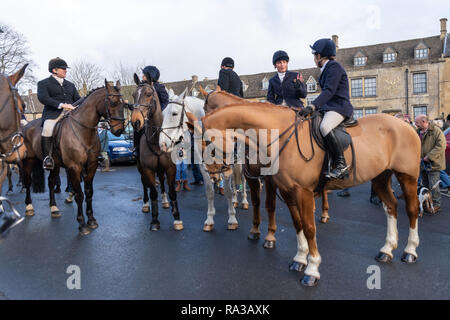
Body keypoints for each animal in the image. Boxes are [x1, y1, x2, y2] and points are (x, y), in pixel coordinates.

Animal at [21, 80, 125, 235]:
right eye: (112, 102)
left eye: (124, 104)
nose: (119, 130)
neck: (83, 131)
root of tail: (27, 126)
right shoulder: (74, 168)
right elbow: (79, 195)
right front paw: (82, 224)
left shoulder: (91, 166)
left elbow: (89, 192)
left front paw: (91, 220)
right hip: (29, 161)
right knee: (28, 182)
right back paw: (29, 207)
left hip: (55, 164)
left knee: (51, 182)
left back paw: (54, 208)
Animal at [130, 74, 183, 231]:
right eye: (133, 95)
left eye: (148, 94)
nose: (135, 121)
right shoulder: (147, 169)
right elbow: (153, 192)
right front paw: (154, 220)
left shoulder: (170, 168)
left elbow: (172, 191)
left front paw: (177, 218)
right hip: (140, 167)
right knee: (144, 184)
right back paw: (146, 204)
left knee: (162, 181)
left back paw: (165, 201)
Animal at [195, 103, 420, 288]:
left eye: (208, 144)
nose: (213, 176)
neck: (279, 136)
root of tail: (404, 123)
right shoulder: (288, 191)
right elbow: (298, 224)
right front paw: (300, 259)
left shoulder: (303, 192)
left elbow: (310, 228)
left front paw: (312, 270)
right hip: (380, 178)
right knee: (391, 206)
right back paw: (387, 249)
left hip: (407, 177)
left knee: (412, 210)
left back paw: (409, 251)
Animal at [199, 85, 328, 250]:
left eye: (204, 108)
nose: (213, 175)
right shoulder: (251, 175)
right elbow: (256, 202)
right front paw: (255, 230)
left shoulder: (269, 178)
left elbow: (270, 204)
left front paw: (270, 236)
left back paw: (324, 213)